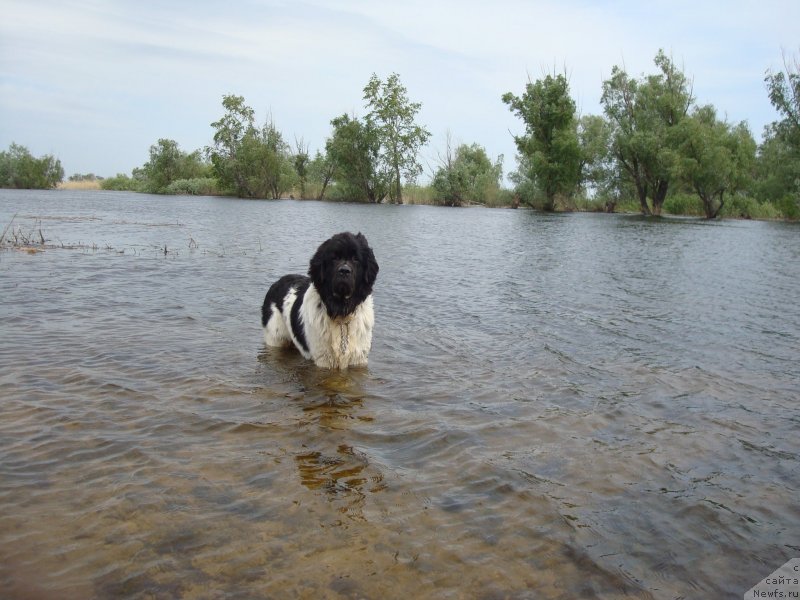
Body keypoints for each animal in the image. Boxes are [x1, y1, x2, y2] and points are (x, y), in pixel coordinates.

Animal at [260, 232, 378, 368]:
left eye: (355, 259)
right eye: (334, 258)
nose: (344, 270)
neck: (341, 313)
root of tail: (277, 282)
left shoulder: (358, 358)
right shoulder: (323, 360)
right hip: (275, 337)